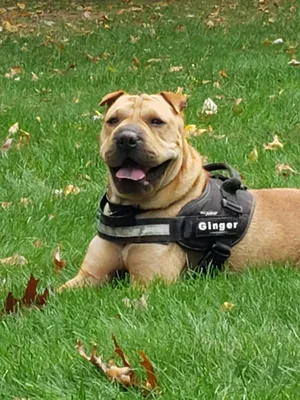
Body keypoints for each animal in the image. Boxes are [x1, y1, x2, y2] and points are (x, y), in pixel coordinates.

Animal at [59, 90, 300, 290]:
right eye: (113, 120)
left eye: (156, 121)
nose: (126, 137)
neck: (131, 211)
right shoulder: (89, 275)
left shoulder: (147, 283)